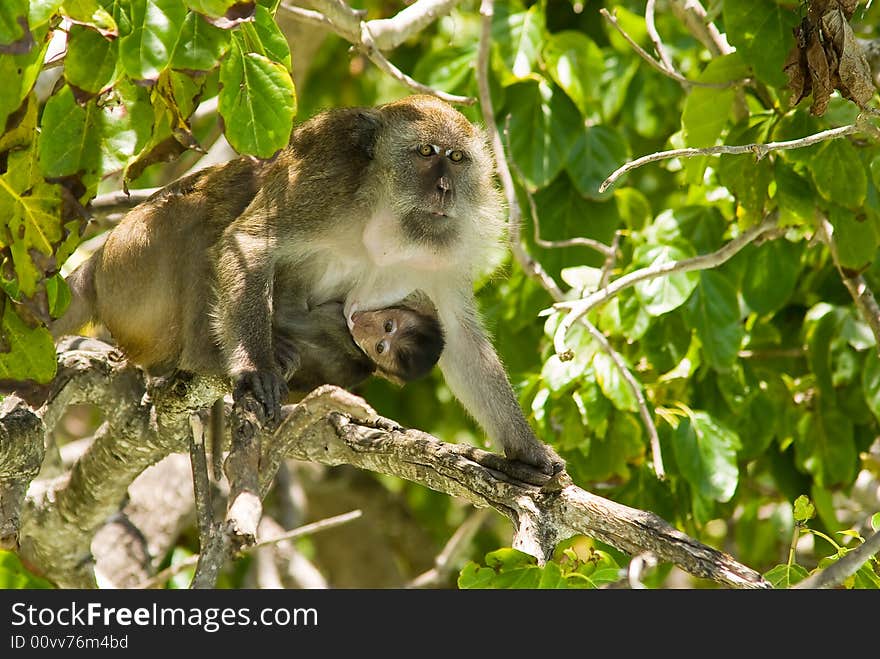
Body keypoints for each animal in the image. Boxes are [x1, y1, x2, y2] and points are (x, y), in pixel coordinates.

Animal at [56, 95, 564, 476]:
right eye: (426, 153)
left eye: (457, 158)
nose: (444, 189)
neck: (385, 218)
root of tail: (98, 265)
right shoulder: (324, 179)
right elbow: (249, 243)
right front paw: (253, 368)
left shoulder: (445, 253)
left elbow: (460, 340)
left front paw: (528, 452)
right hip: (135, 271)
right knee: (204, 219)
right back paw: (210, 356)